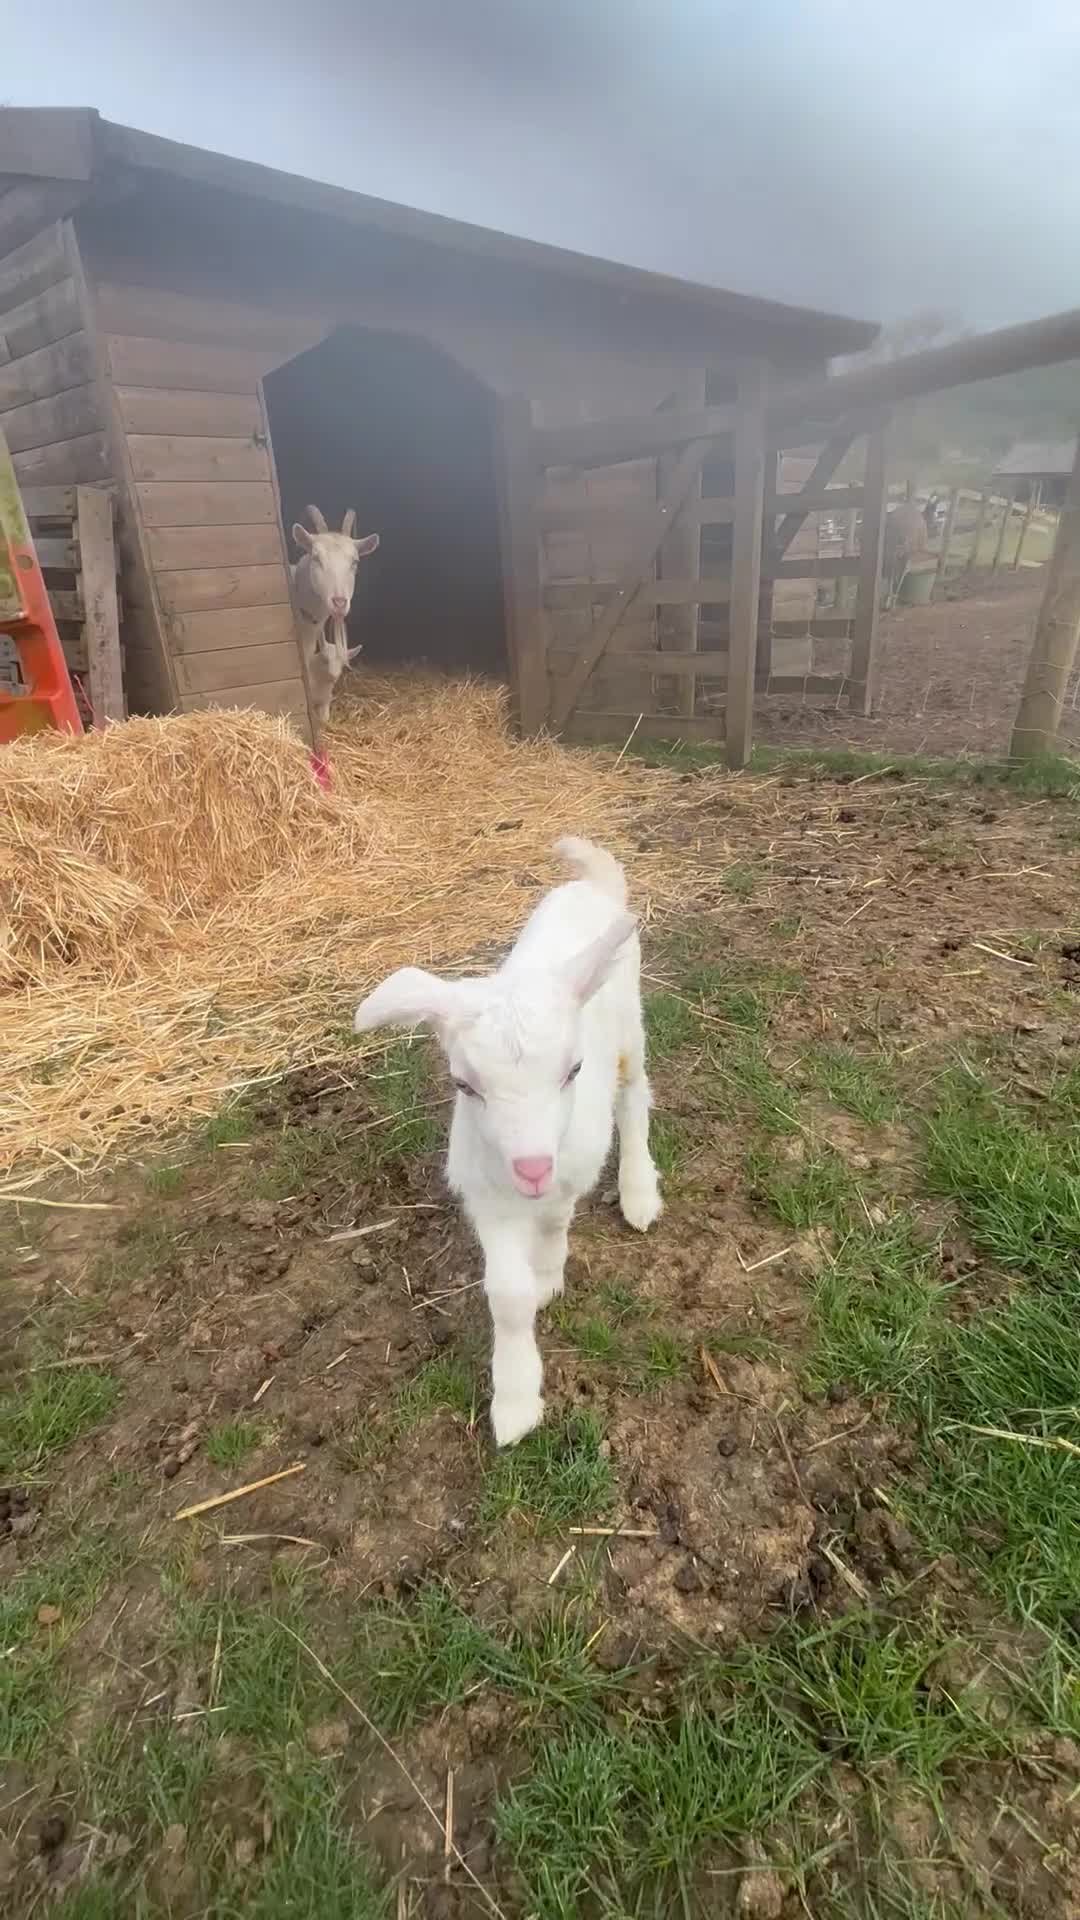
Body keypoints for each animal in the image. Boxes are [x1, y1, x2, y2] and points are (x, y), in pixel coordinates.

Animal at [353, 836, 662, 1446]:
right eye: (463, 1085)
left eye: (573, 1070)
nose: (532, 1168)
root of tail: (590, 886)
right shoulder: (485, 1195)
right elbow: (506, 1294)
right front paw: (516, 1398)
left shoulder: (568, 1173)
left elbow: (553, 1226)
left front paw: (547, 1274)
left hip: (630, 1025)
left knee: (634, 1095)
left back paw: (639, 1191)